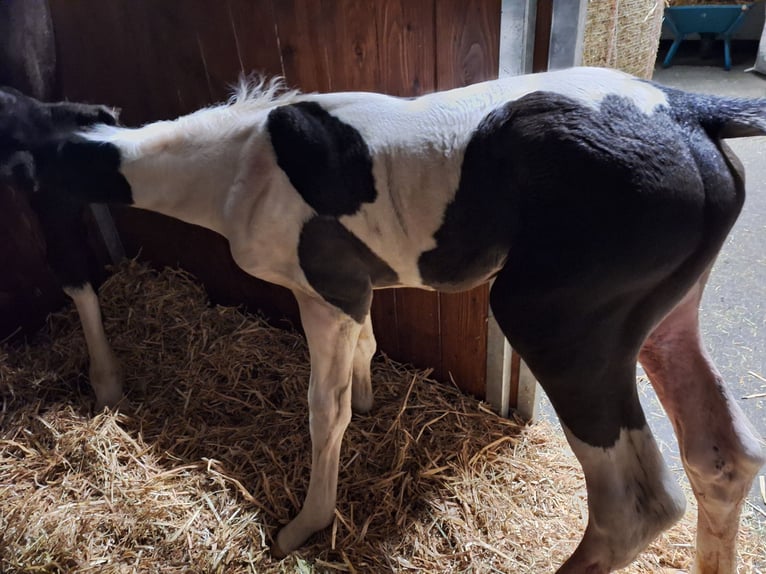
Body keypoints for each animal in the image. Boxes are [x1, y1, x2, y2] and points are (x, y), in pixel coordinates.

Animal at [31, 71, 766, 574]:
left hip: (556, 321)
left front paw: (305, 525)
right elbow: (369, 347)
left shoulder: (326, 294)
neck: (238, 164)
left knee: (634, 508)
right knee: (722, 456)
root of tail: (689, 109)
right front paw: (368, 398)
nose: (56, 251)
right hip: (663, 315)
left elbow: (324, 411)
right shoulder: (356, 294)